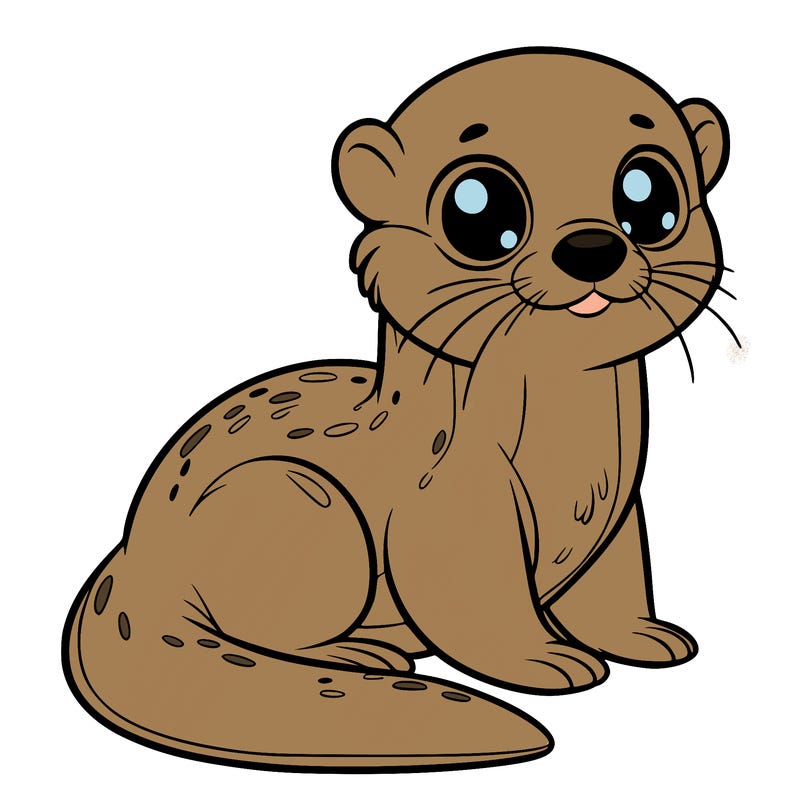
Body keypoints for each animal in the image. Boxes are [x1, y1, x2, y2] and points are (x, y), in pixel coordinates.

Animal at [62, 48, 729, 772]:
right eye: (477, 206)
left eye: (649, 194)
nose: (591, 249)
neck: (573, 460)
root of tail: (132, 557)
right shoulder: (452, 509)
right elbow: (478, 603)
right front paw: (545, 659)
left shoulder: (619, 511)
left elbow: (615, 583)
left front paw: (642, 635)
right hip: (297, 502)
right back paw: (362, 653)